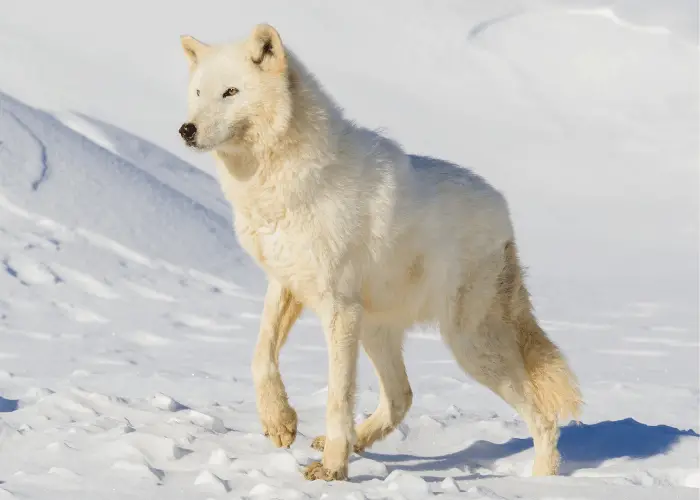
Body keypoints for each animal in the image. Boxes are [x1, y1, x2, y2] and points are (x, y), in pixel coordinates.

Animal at [179, 24, 580, 484]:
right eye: (197, 92)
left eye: (230, 92)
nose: (186, 129)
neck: (286, 182)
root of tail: (505, 213)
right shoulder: (286, 284)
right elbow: (261, 356)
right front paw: (281, 423)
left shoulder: (338, 310)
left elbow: (337, 395)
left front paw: (332, 469)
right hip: (378, 330)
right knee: (402, 396)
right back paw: (355, 440)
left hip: (468, 346)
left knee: (542, 415)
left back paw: (543, 479)